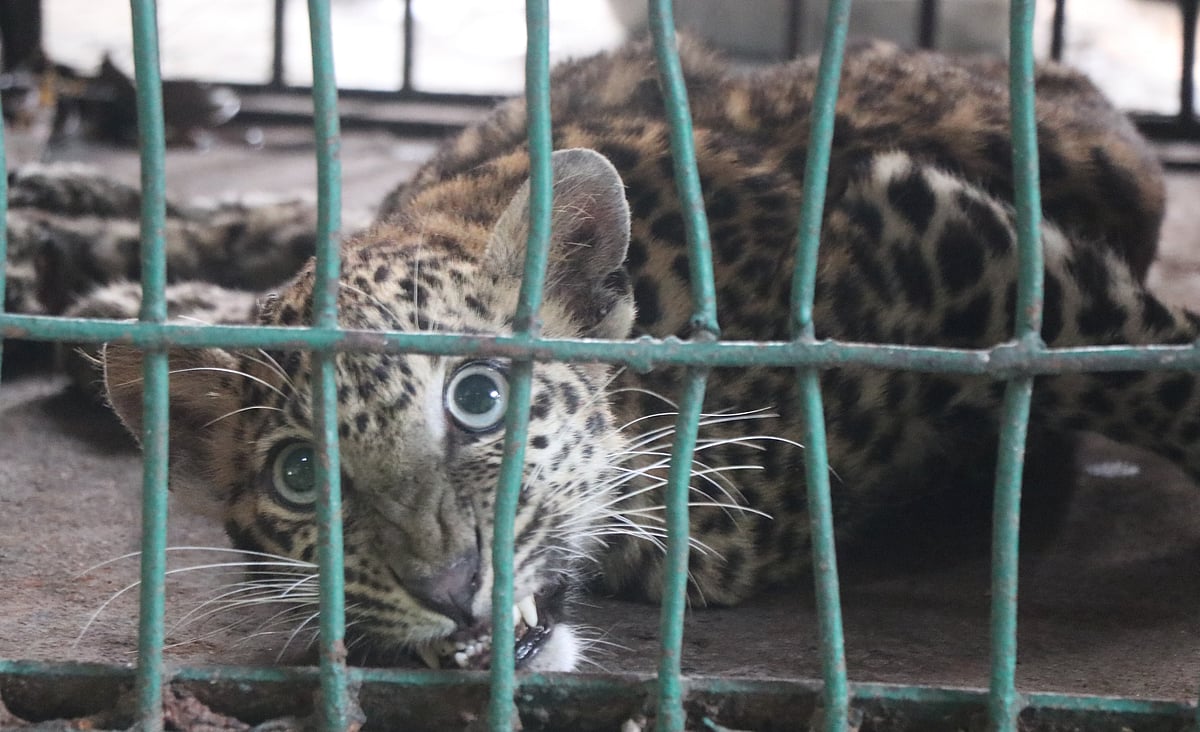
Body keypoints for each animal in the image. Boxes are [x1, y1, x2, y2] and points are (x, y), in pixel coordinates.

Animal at [12, 38, 1199, 674]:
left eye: (480, 400)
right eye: (300, 476)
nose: (451, 587)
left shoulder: (940, 225)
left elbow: (1142, 359)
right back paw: (67, 252)